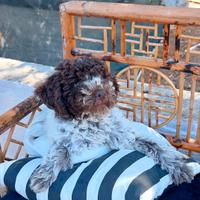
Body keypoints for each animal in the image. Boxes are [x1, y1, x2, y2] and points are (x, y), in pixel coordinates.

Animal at [29, 55, 194, 192]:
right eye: (76, 81)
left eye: (103, 77)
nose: (101, 92)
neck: (92, 120)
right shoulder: (65, 141)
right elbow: (57, 152)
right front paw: (42, 177)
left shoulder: (125, 137)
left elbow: (156, 147)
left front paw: (180, 167)